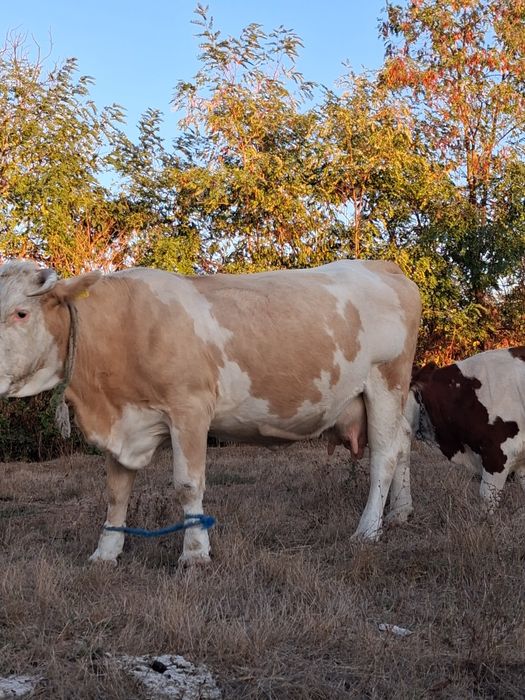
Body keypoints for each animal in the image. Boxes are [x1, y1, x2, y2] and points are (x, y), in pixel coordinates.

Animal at [0, 259, 421, 564]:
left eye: (21, 313)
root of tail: (383, 265)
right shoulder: (123, 421)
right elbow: (117, 492)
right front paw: (106, 553)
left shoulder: (189, 409)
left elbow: (188, 486)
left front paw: (195, 554)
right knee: (403, 441)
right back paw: (400, 513)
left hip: (386, 382)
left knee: (384, 456)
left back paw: (368, 531)